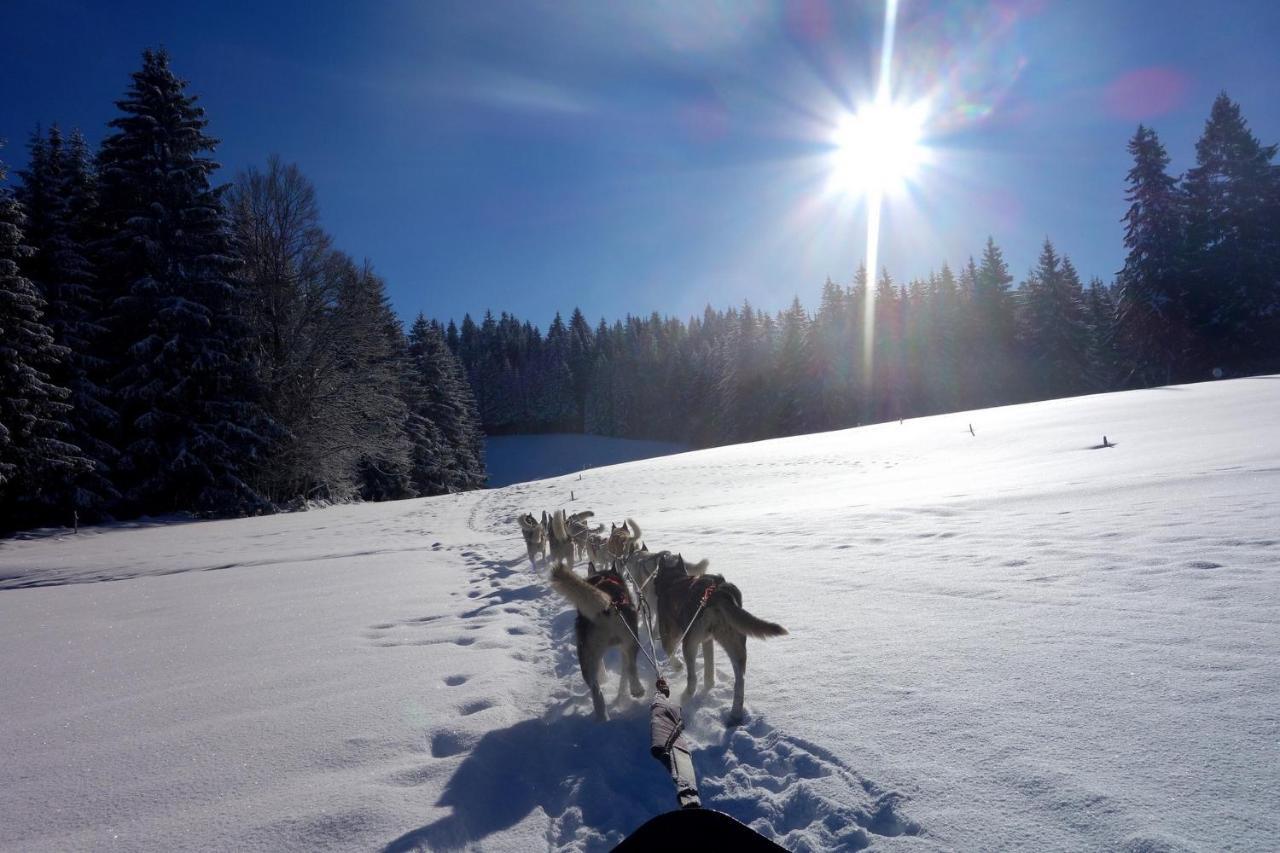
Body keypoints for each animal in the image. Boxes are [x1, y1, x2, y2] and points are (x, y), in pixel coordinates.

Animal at [550, 560, 650, 722]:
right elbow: (624, 674)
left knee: (596, 690)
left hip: (588, 655)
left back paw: (603, 718)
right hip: (630, 642)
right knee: (631, 667)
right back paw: (636, 689)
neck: (604, 577)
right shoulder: (622, 648)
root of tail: (609, 607)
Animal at [655, 548, 783, 722]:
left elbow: (669, 651)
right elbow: (709, 670)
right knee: (740, 681)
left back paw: (684, 698)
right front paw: (709, 684)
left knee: (692, 679)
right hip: (736, 645)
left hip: (689, 644)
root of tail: (719, 591)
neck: (674, 580)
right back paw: (735, 713)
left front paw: (677, 666)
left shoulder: (670, 635)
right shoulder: (707, 640)